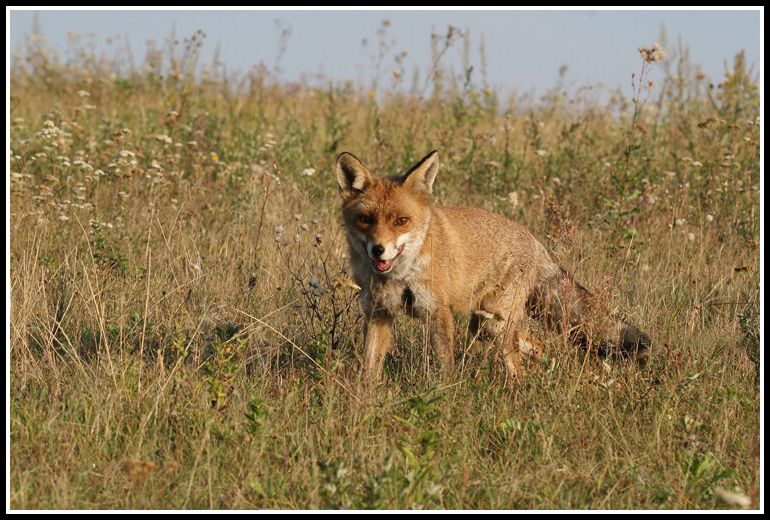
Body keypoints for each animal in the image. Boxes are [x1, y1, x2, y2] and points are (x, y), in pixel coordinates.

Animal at [334, 150, 648, 382]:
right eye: (365, 219)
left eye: (401, 221)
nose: (378, 249)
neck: (400, 276)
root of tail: (535, 240)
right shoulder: (378, 313)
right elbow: (368, 371)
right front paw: (364, 406)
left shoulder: (438, 313)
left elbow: (445, 369)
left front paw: (443, 401)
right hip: (486, 325)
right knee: (536, 346)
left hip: (494, 325)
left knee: (517, 366)